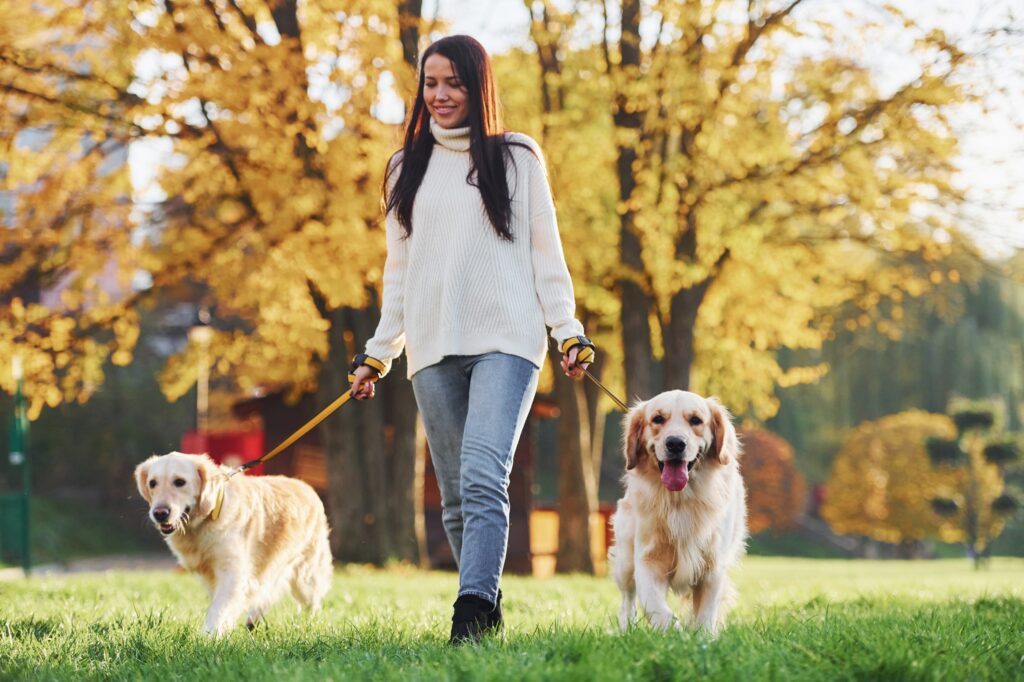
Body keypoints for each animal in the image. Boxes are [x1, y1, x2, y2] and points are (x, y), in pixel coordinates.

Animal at [133, 448, 331, 634]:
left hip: (305, 577)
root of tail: (306, 486)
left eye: (180, 482)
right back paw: (253, 620)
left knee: (312, 602)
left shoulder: (233, 573)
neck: (208, 517)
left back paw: (308, 624)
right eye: (152, 483)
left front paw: (207, 636)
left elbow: (219, 609)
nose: (159, 513)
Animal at [606, 391, 745, 634]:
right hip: (625, 559)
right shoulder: (648, 559)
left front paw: (703, 638)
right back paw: (626, 629)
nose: (675, 443)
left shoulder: (712, 566)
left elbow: (706, 614)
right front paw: (674, 632)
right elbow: (655, 606)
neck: (680, 500)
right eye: (658, 419)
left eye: (696, 420)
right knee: (627, 598)